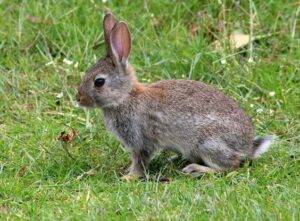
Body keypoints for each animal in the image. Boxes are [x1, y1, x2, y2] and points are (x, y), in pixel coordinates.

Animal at [76, 12, 276, 180]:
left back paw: (194, 168)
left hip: (209, 143)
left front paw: (129, 177)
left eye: (99, 82)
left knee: (230, 166)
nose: (78, 99)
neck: (125, 97)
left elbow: (140, 161)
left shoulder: (141, 140)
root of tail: (248, 148)